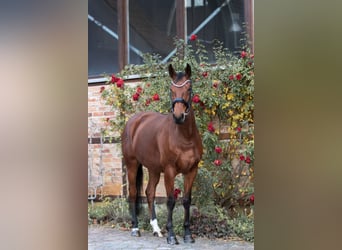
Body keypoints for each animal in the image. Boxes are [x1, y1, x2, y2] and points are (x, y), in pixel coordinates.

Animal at [122, 64, 203, 244]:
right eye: (171, 89)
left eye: (189, 88)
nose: (178, 116)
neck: (184, 137)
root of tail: (134, 121)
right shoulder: (170, 171)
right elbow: (171, 201)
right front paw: (172, 236)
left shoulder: (192, 170)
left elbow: (186, 200)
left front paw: (188, 235)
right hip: (132, 164)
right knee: (133, 193)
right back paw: (135, 228)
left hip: (154, 169)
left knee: (149, 193)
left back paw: (156, 229)